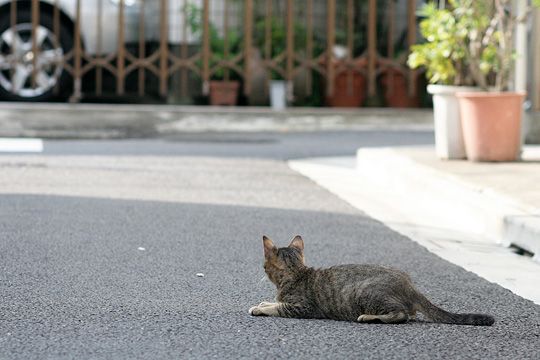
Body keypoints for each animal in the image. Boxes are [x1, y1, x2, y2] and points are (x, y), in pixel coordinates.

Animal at [249, 236, 494, 326]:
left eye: (264, 265)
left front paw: (262, 308)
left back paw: (368, 317)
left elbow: (279, 307)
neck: (296, 273)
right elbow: (275, 302)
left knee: (401, 315)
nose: (261, 268)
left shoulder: (304, 308)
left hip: (367, 292)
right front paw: (264, 302)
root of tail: (410, 285)